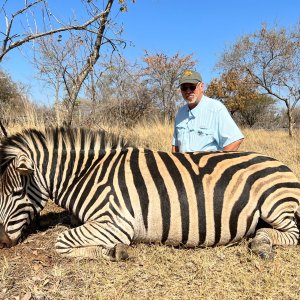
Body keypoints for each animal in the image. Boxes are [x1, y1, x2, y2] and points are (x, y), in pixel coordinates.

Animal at [0, 126, 298, 260]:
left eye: (16, 192)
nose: (2, 241)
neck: (88, 174)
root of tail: (283, 166)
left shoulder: (116, 223)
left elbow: (61, 243)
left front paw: (114, 252)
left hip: (274, 204)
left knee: (292, 234)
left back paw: (262, 244)